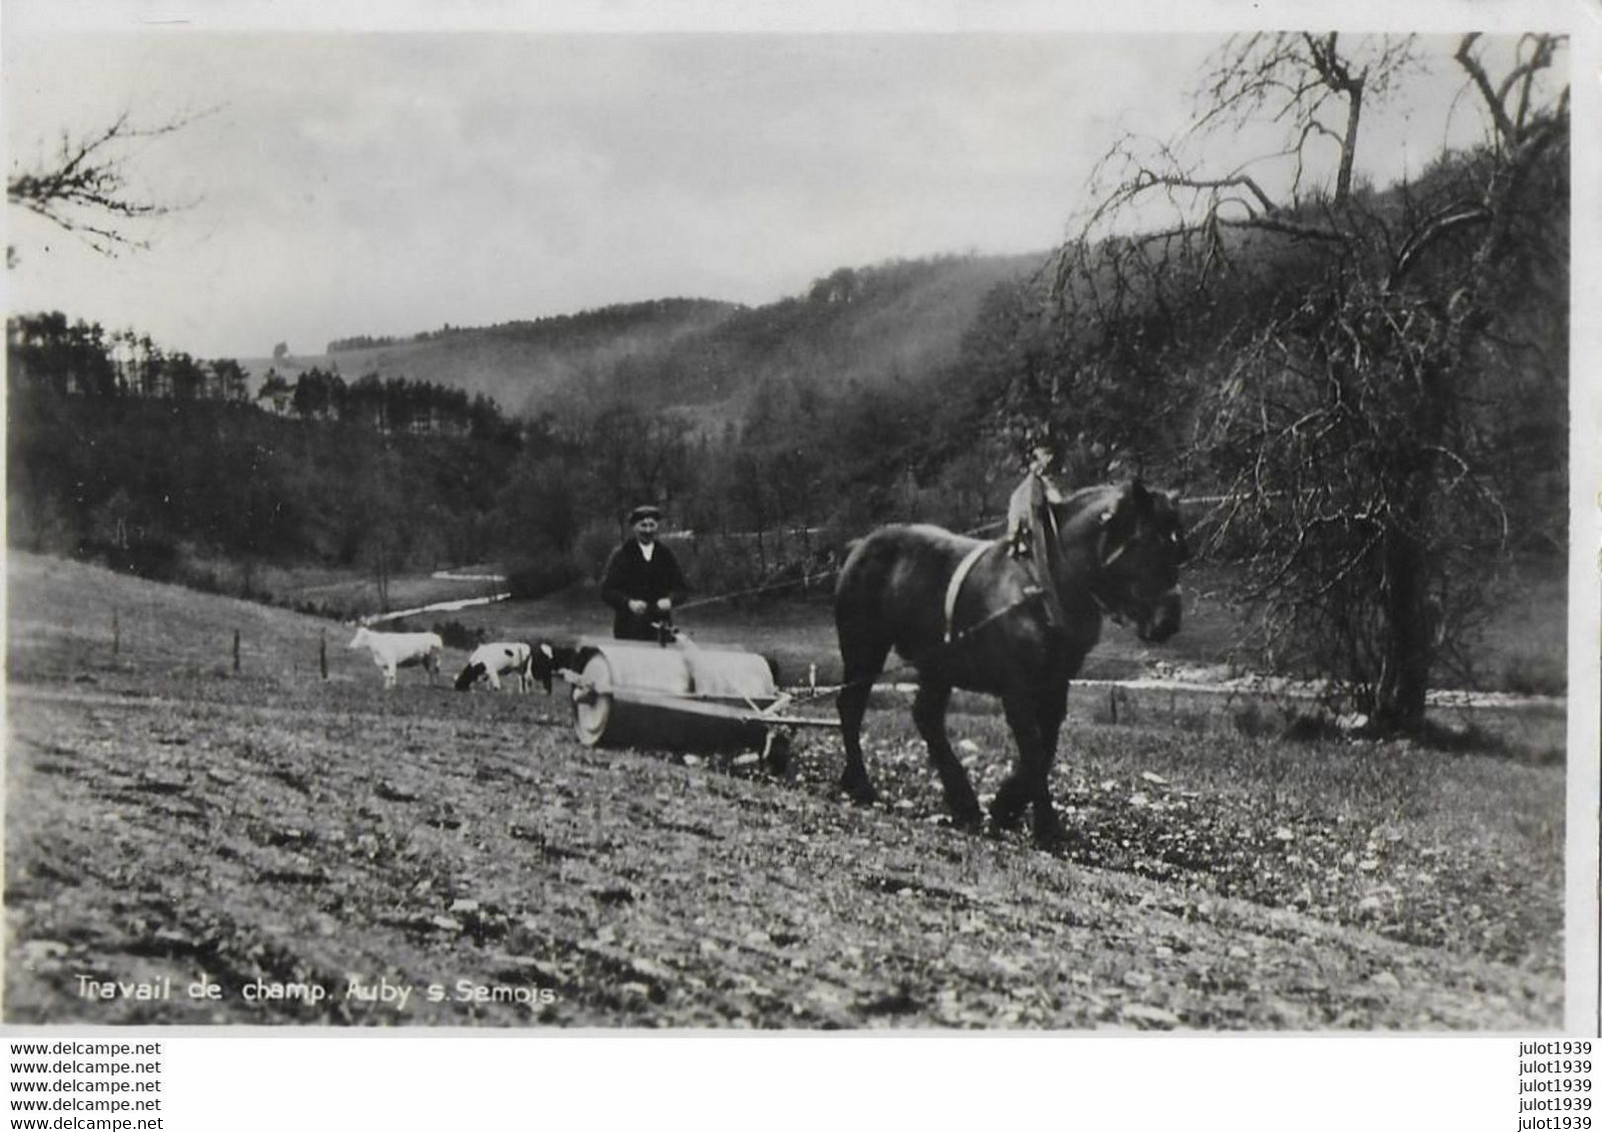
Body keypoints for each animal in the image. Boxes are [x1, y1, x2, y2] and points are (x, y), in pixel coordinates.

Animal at [839, 480, 1191, 851]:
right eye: (1147, 545)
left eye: (1178, 549)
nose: (1169, 621)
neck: (1043, 584)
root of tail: (860, 545)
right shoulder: (1016, 688)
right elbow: (1033, 749)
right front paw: (1046, 826)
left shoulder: (1055, 684)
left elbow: (1046, 747)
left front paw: (1006, 805)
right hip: (864, 650)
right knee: (851, 706)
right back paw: (860, 783)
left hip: (939, 665)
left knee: (927, 717)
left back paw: (962, 802)